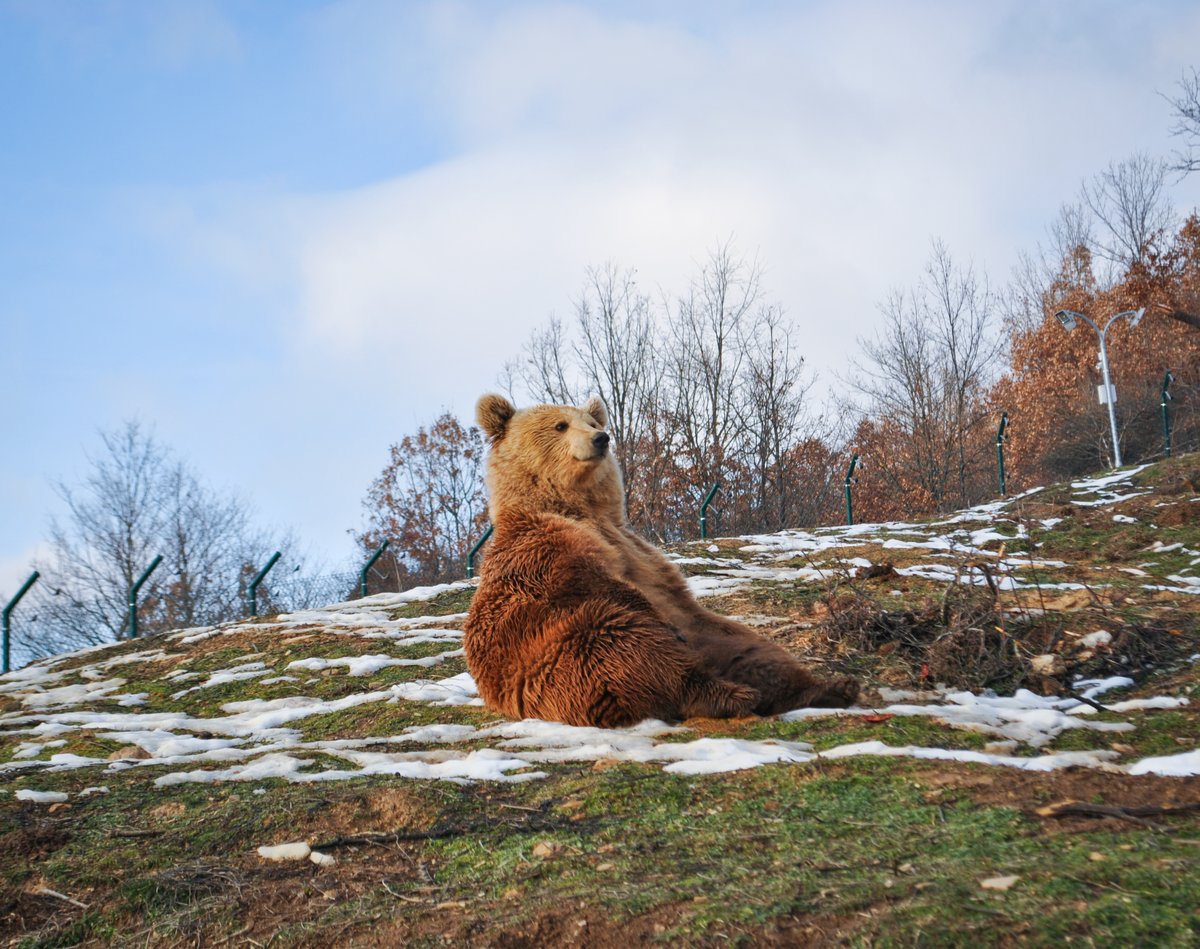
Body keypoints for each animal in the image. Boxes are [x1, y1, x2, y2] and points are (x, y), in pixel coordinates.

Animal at [462, 393, 860, 728]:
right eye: (560, 425)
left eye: (589, 420)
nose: (601, 438)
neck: (580, 509)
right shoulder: (543, 546)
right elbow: (585, 580)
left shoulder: (639, 550)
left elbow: (669, 587)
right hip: (568, 659)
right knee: (630, 646)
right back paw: (730, 694)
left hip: (716, 638)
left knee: (757, 652)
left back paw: (829, 687)